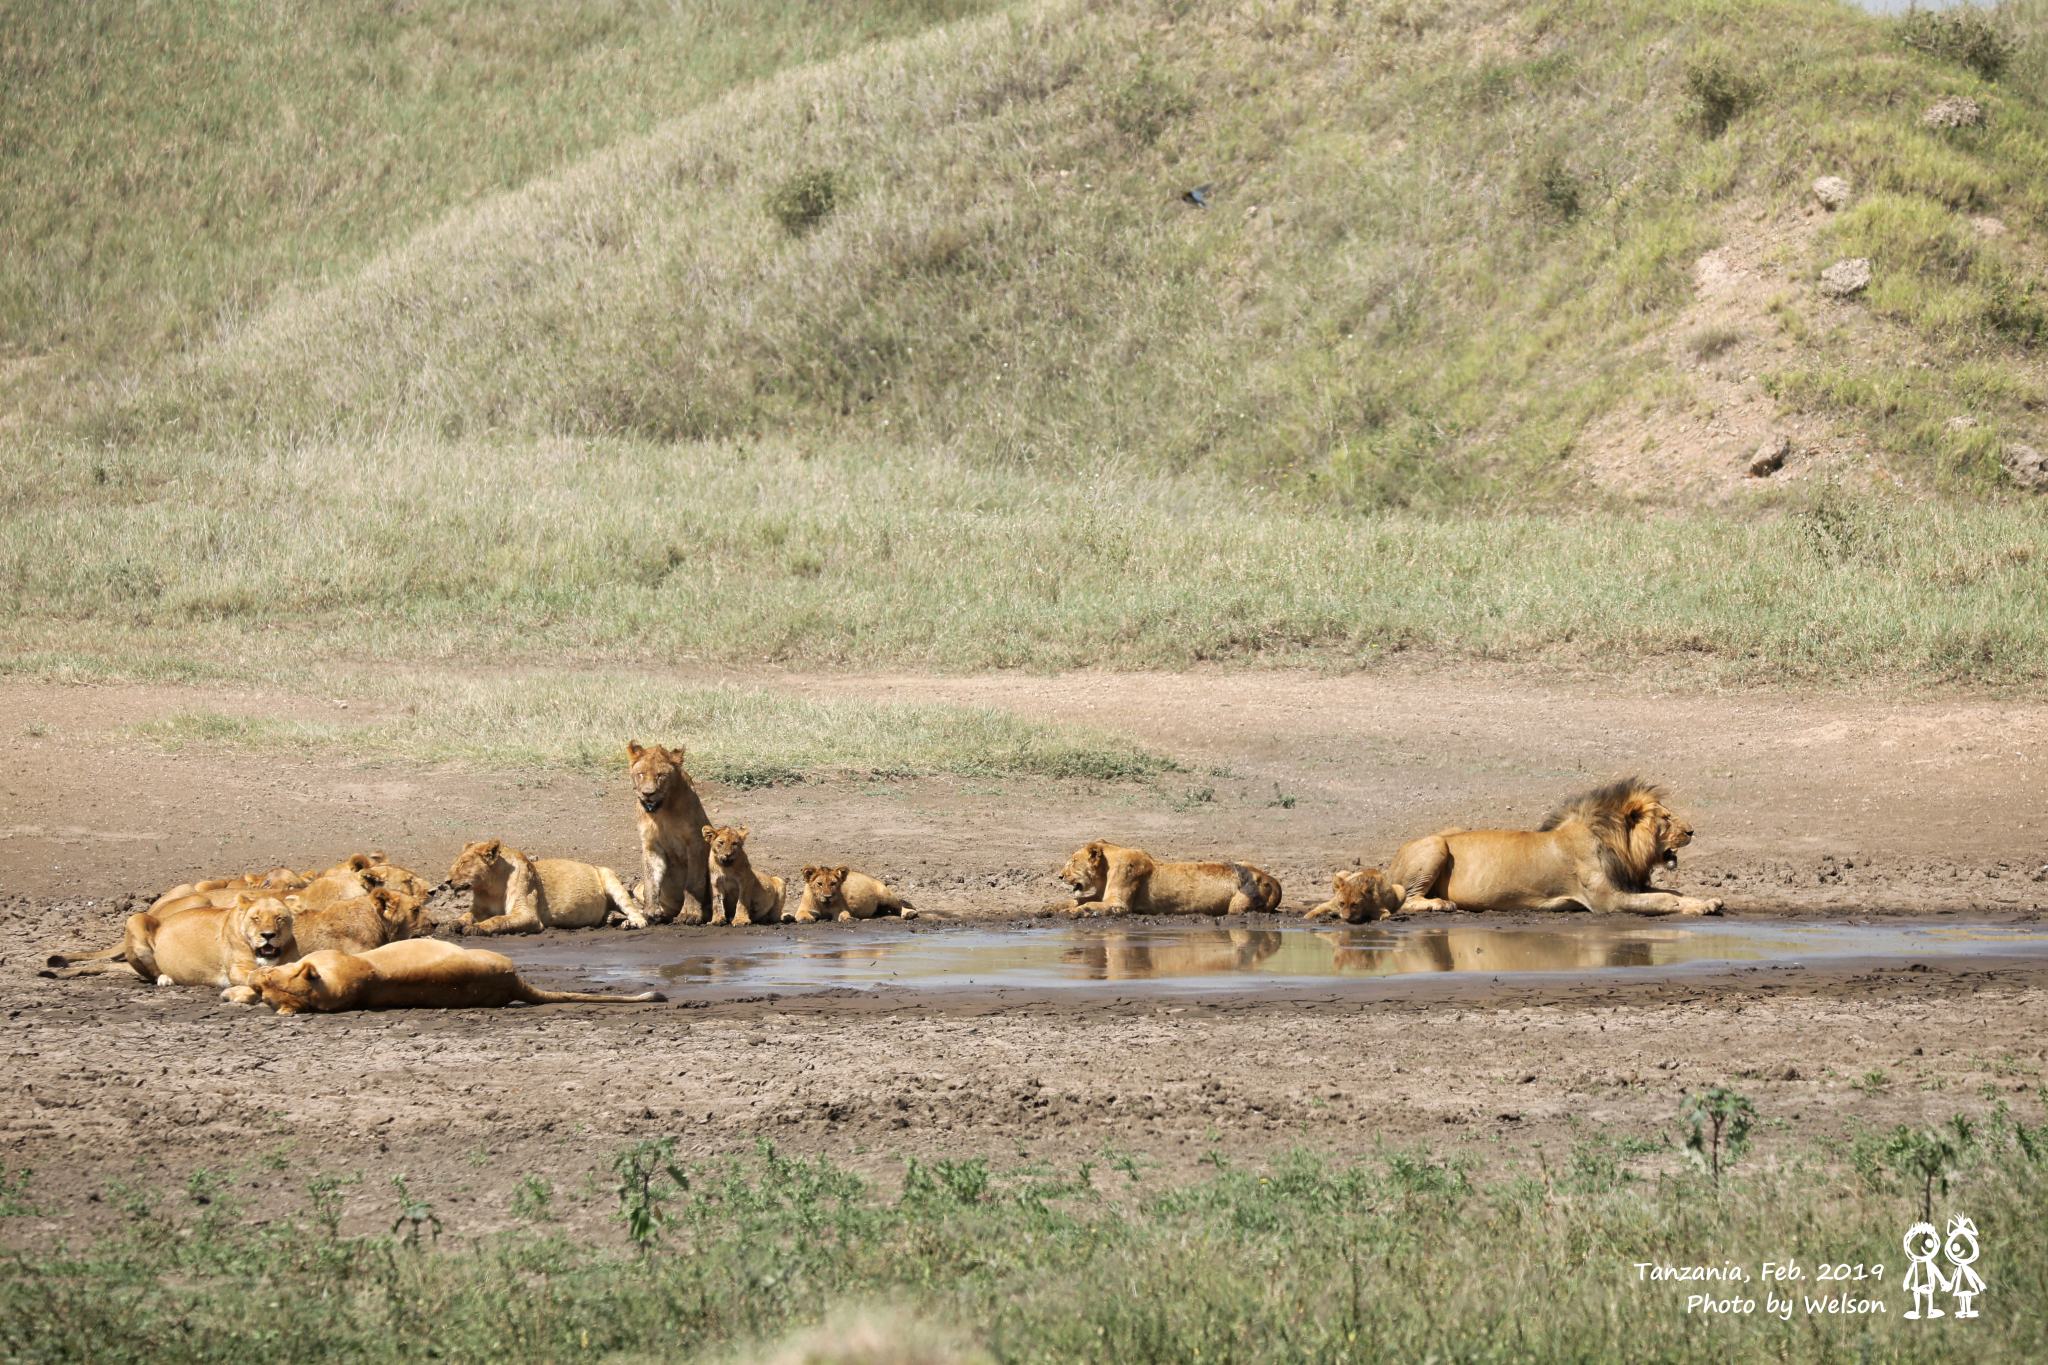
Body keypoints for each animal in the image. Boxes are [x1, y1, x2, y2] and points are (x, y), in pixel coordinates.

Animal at [1327, 777, 1728, 916]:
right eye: (1665, 818)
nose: (1692, 831)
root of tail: (1392, 862)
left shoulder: (1627, 885)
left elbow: (1672, 891)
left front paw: (1708, 900)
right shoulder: (1607, 901)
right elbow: (1663, 900)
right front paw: (1698, 908)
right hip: (1435, 846)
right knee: (1406, 899)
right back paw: (1440, 904)